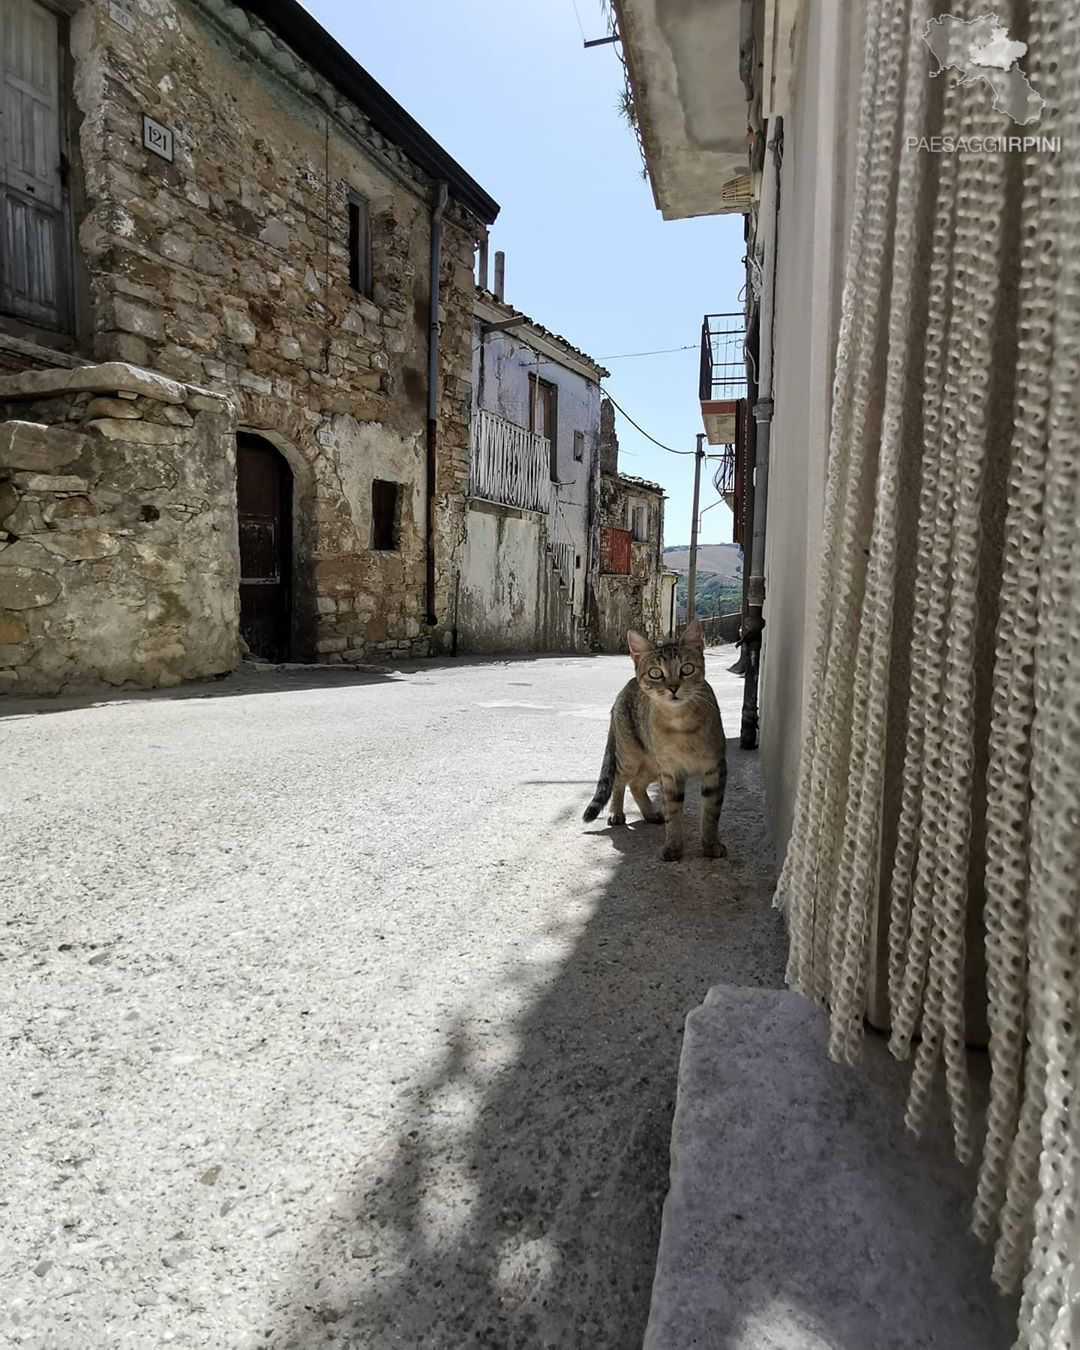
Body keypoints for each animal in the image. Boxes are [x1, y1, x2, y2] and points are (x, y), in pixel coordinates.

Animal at [583, 621, 723, 864]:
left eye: (687, 669)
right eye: (656, 673)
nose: (673, 687)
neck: (682, 725)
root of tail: (621, 693)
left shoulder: (714, 768)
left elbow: (711, 813)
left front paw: (710, 845)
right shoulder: (671, 773)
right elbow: (673, 813)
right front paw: (674, 847)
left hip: (652, 765)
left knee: (636, 784)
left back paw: (650, 813)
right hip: (631, 757)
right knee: (620, 781)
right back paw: (616, 813)